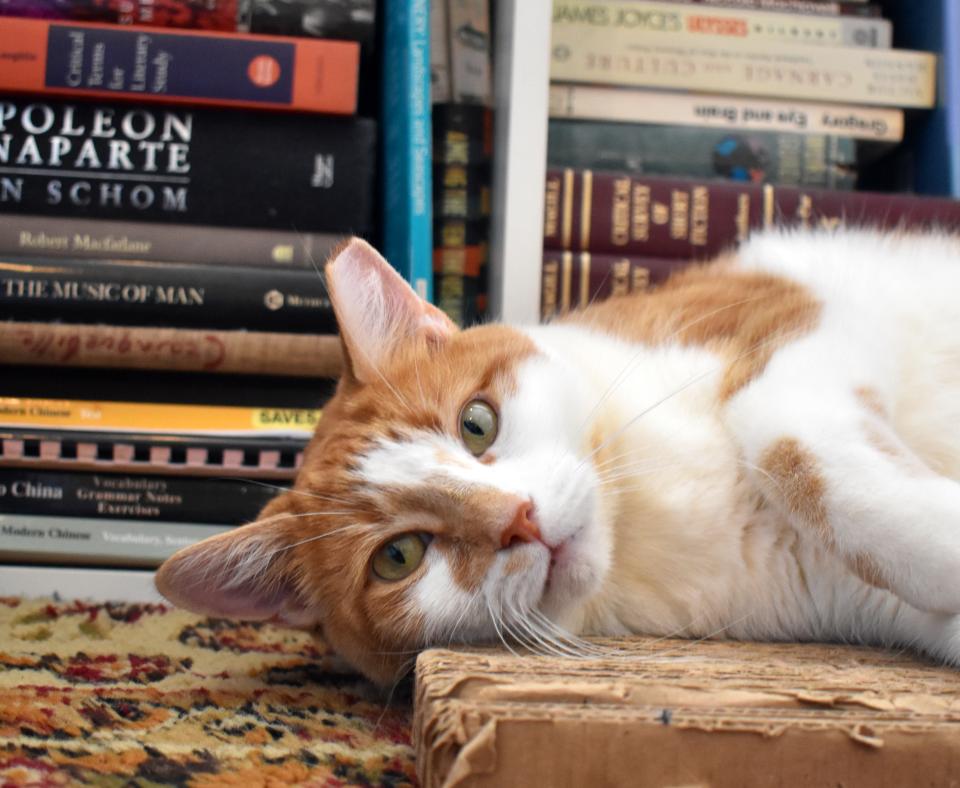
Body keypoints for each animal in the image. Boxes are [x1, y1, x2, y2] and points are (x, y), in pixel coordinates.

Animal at [154, 232, 960, 684]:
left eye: (477, 424)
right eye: (398, 558)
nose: (519, 519)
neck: (645, 520)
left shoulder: (786, 317)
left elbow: (781, 433)